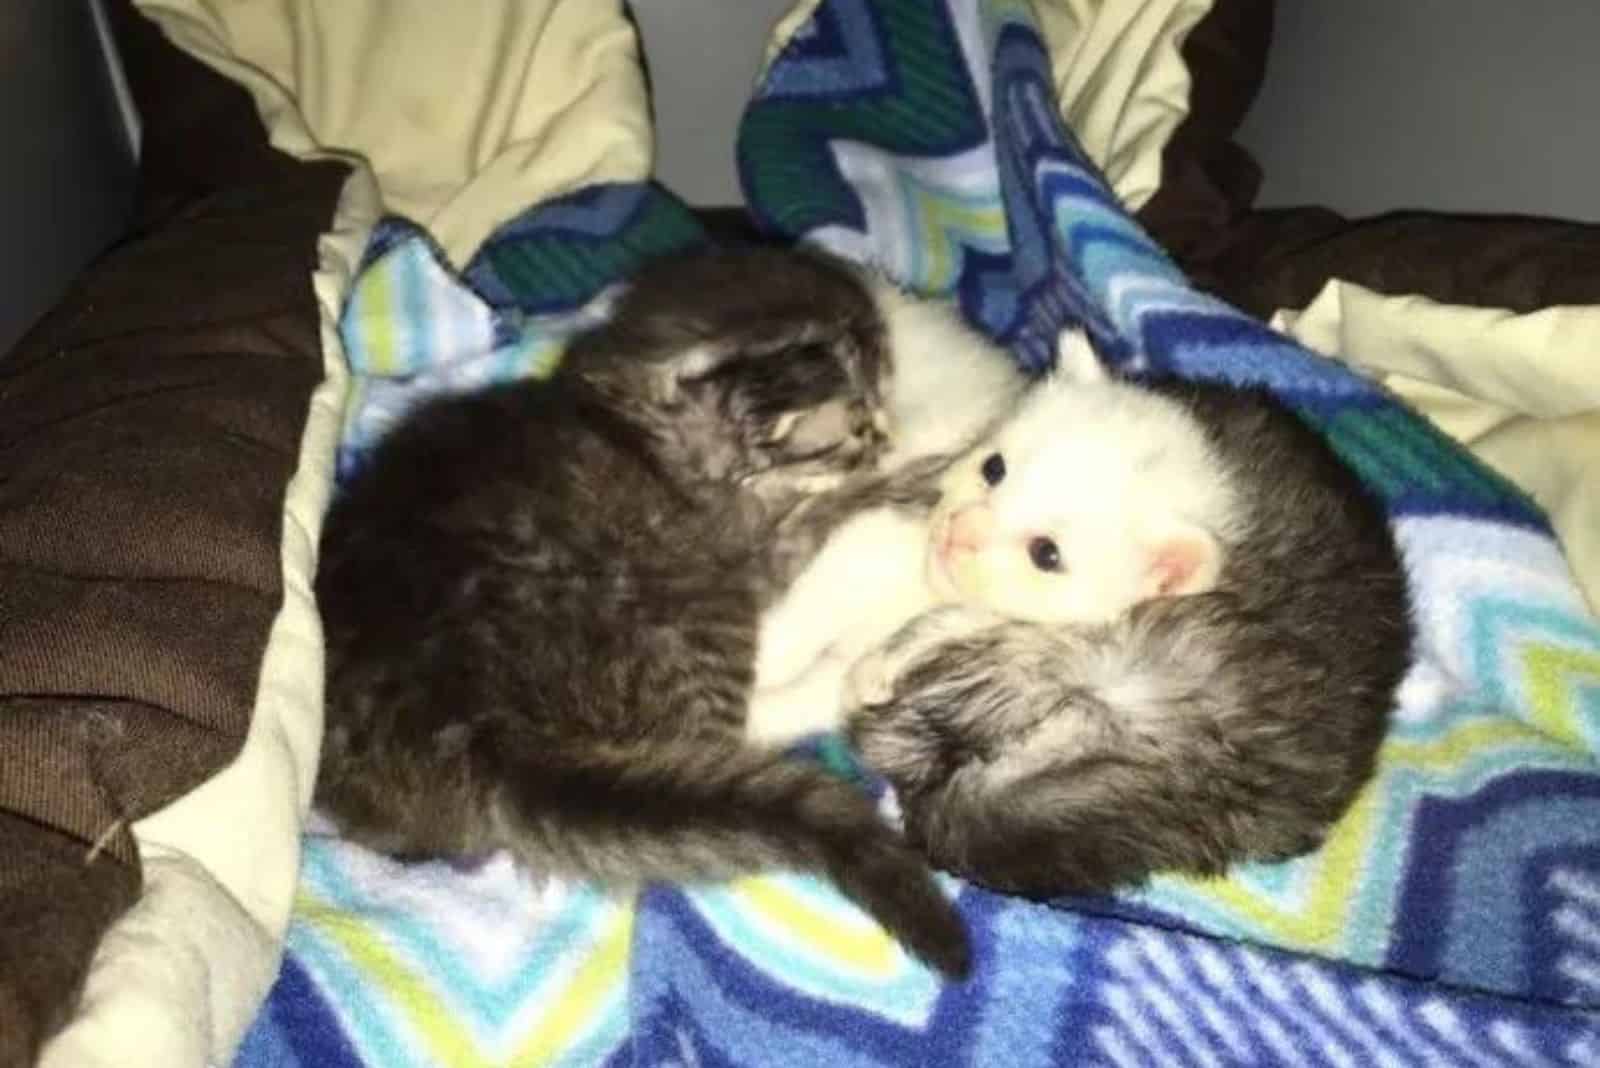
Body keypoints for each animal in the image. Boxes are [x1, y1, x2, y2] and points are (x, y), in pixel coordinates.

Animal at [308, 244, 960, 978]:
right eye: (862, 425)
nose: (889, 435)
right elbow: (821, 514)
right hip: (697, 612)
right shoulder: (742, 544)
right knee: (726, 726)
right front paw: (908, 479)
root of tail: (478, 724)